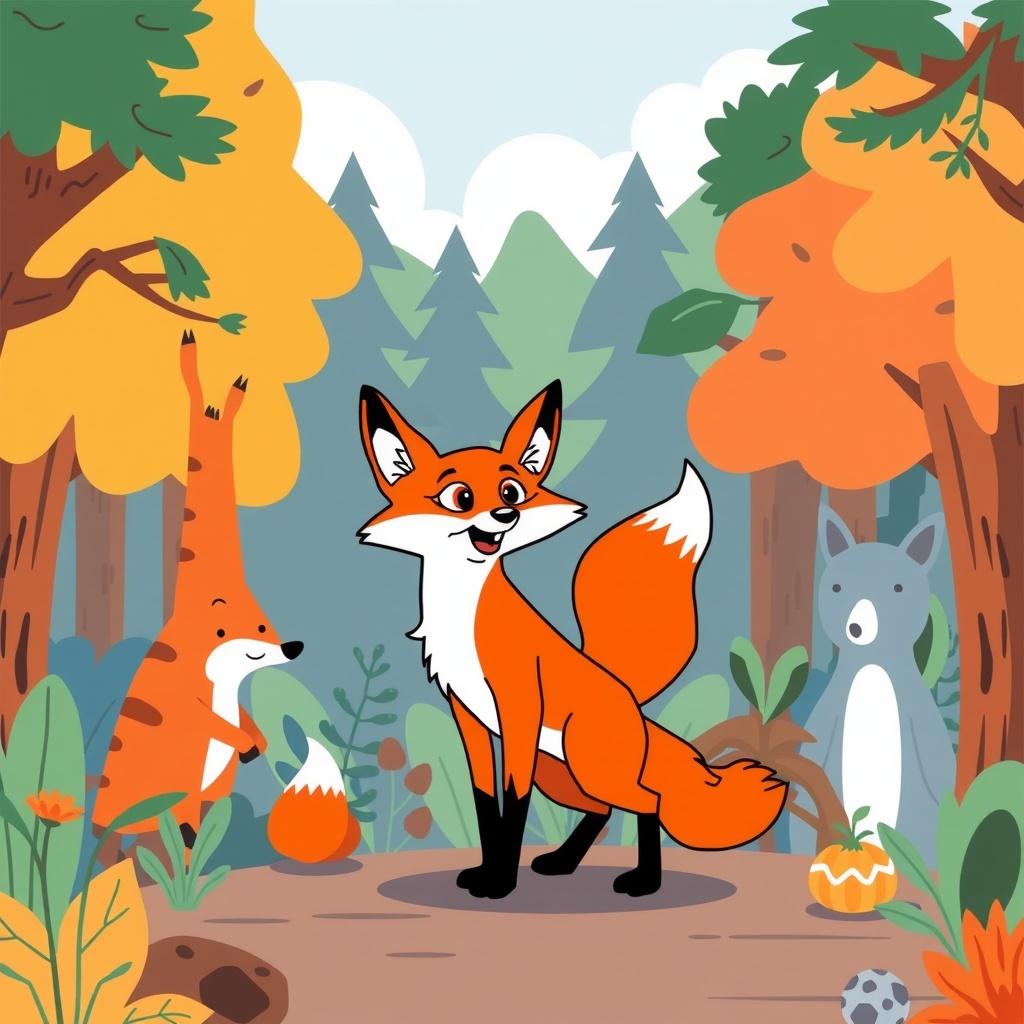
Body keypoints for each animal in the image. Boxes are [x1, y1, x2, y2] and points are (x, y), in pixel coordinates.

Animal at [358, 380, 788, 898]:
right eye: (460, 496)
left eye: (512, 491)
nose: (504, 514)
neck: (462, 614)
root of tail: (632, 703)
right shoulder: (469, 716)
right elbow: (485, 803)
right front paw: (485, 873)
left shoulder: (519, 710)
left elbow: (513, 804)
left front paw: (500, 885)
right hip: (561, 772)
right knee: (604, 808)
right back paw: (563, 862)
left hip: (588, 765)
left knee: (648, 801)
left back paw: (644, 881)